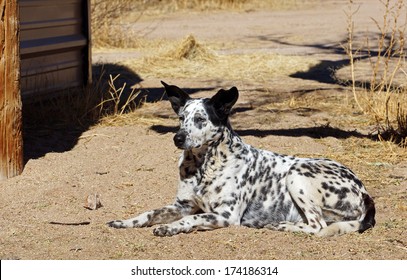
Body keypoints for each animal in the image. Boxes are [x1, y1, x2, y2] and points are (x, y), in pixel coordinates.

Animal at [107, 81, 376, 236]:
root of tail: (364, 191)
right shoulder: (181, 205)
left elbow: (192, 218)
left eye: (200, 119)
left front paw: (170, 227)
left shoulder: (226, 215)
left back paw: (281, 225)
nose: (178, 138)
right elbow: (149, 213)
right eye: (181, 118)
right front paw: (125, 222)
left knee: (318, 226)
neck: (203, 166)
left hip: (297, 173)